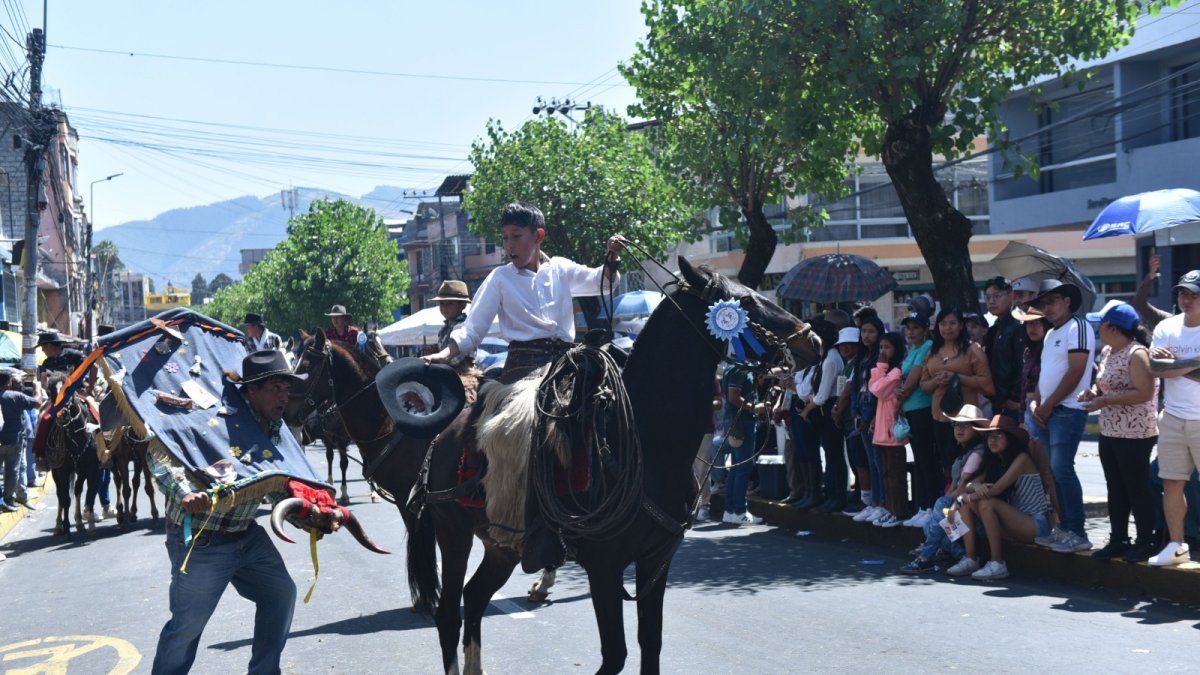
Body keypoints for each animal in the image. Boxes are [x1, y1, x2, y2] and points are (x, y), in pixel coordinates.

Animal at [44, 377, 103, 536]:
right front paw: (65, 527)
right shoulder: (62, 470)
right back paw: (58, 525)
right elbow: (65, 498)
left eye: (68, 390)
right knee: (60, 494)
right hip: (56, 472)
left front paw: (89, 523)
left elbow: (89, 493)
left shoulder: (91, 468)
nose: (61, 415)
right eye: (50, 391)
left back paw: (79, 521)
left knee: (77, 490)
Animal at [406, 257, 819, 675]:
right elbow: (615, 654)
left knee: (474, 597)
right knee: (449, 614)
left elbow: (650, 644)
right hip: (454, 534)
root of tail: (444, 436)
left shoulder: (655, 561)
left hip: (502, 543)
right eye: (745, 301)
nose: (813, 340)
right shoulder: (604, 567)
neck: (648, 442)